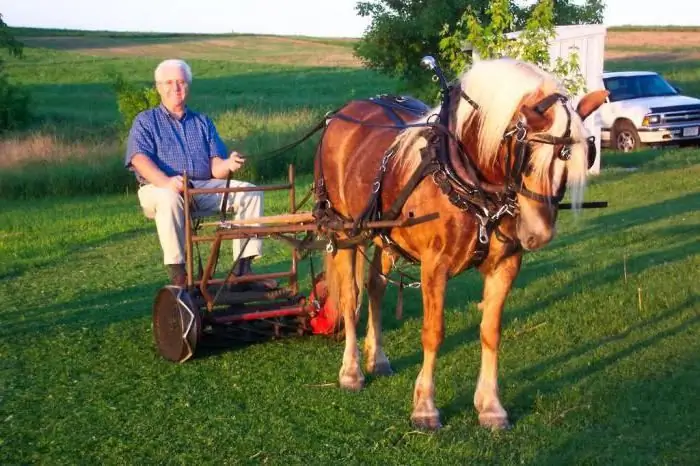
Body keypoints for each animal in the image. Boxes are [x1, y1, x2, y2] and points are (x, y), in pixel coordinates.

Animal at [312, 57, 608, 430]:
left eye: (583, 157)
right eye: (526, 156)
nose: (538, 235)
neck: (467, 179)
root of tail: (344, 113)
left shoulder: (505, 265)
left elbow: (491, 331)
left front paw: (491, 406)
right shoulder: (434, 266)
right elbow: (433, 332)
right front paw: (425, 407)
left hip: (384, 235)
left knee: (376, 287)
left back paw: (376, 357)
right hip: (343, 232)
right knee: (350, 297)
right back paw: (351, 371)